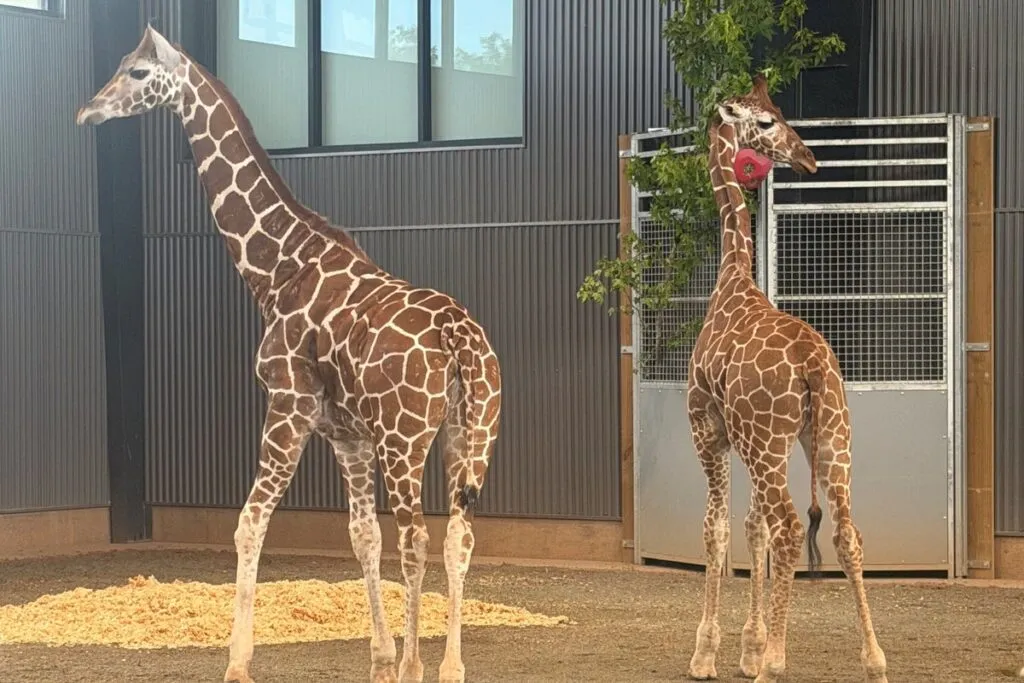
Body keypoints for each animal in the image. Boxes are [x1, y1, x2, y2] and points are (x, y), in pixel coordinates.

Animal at [75, 25, 501, 683]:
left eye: (139, 72)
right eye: (120, 63)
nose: (88, 111)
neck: (277, 269)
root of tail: (459, 335)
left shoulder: (288, 405)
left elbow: (250, 524)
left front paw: (237, 662)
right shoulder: (347, 435)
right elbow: (361, 537)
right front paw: (379, 659)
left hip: (406, 439)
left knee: (419, 539)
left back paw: (417, 665)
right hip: (472, 432)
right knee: (458, 535)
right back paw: (449, 667)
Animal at [683, 74, 888, 683]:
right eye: (767, 120)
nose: (808, 157)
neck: (732, 279)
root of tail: (812, 364)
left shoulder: (709, 430)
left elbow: (719, 529)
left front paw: (711, 653)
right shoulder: (744, 441)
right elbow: (752, 528)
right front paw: (748, 647)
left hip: (771, 442)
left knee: (794, 528)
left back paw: (777, 661)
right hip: (830, 437)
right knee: (846, 532)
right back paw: (874, 659)